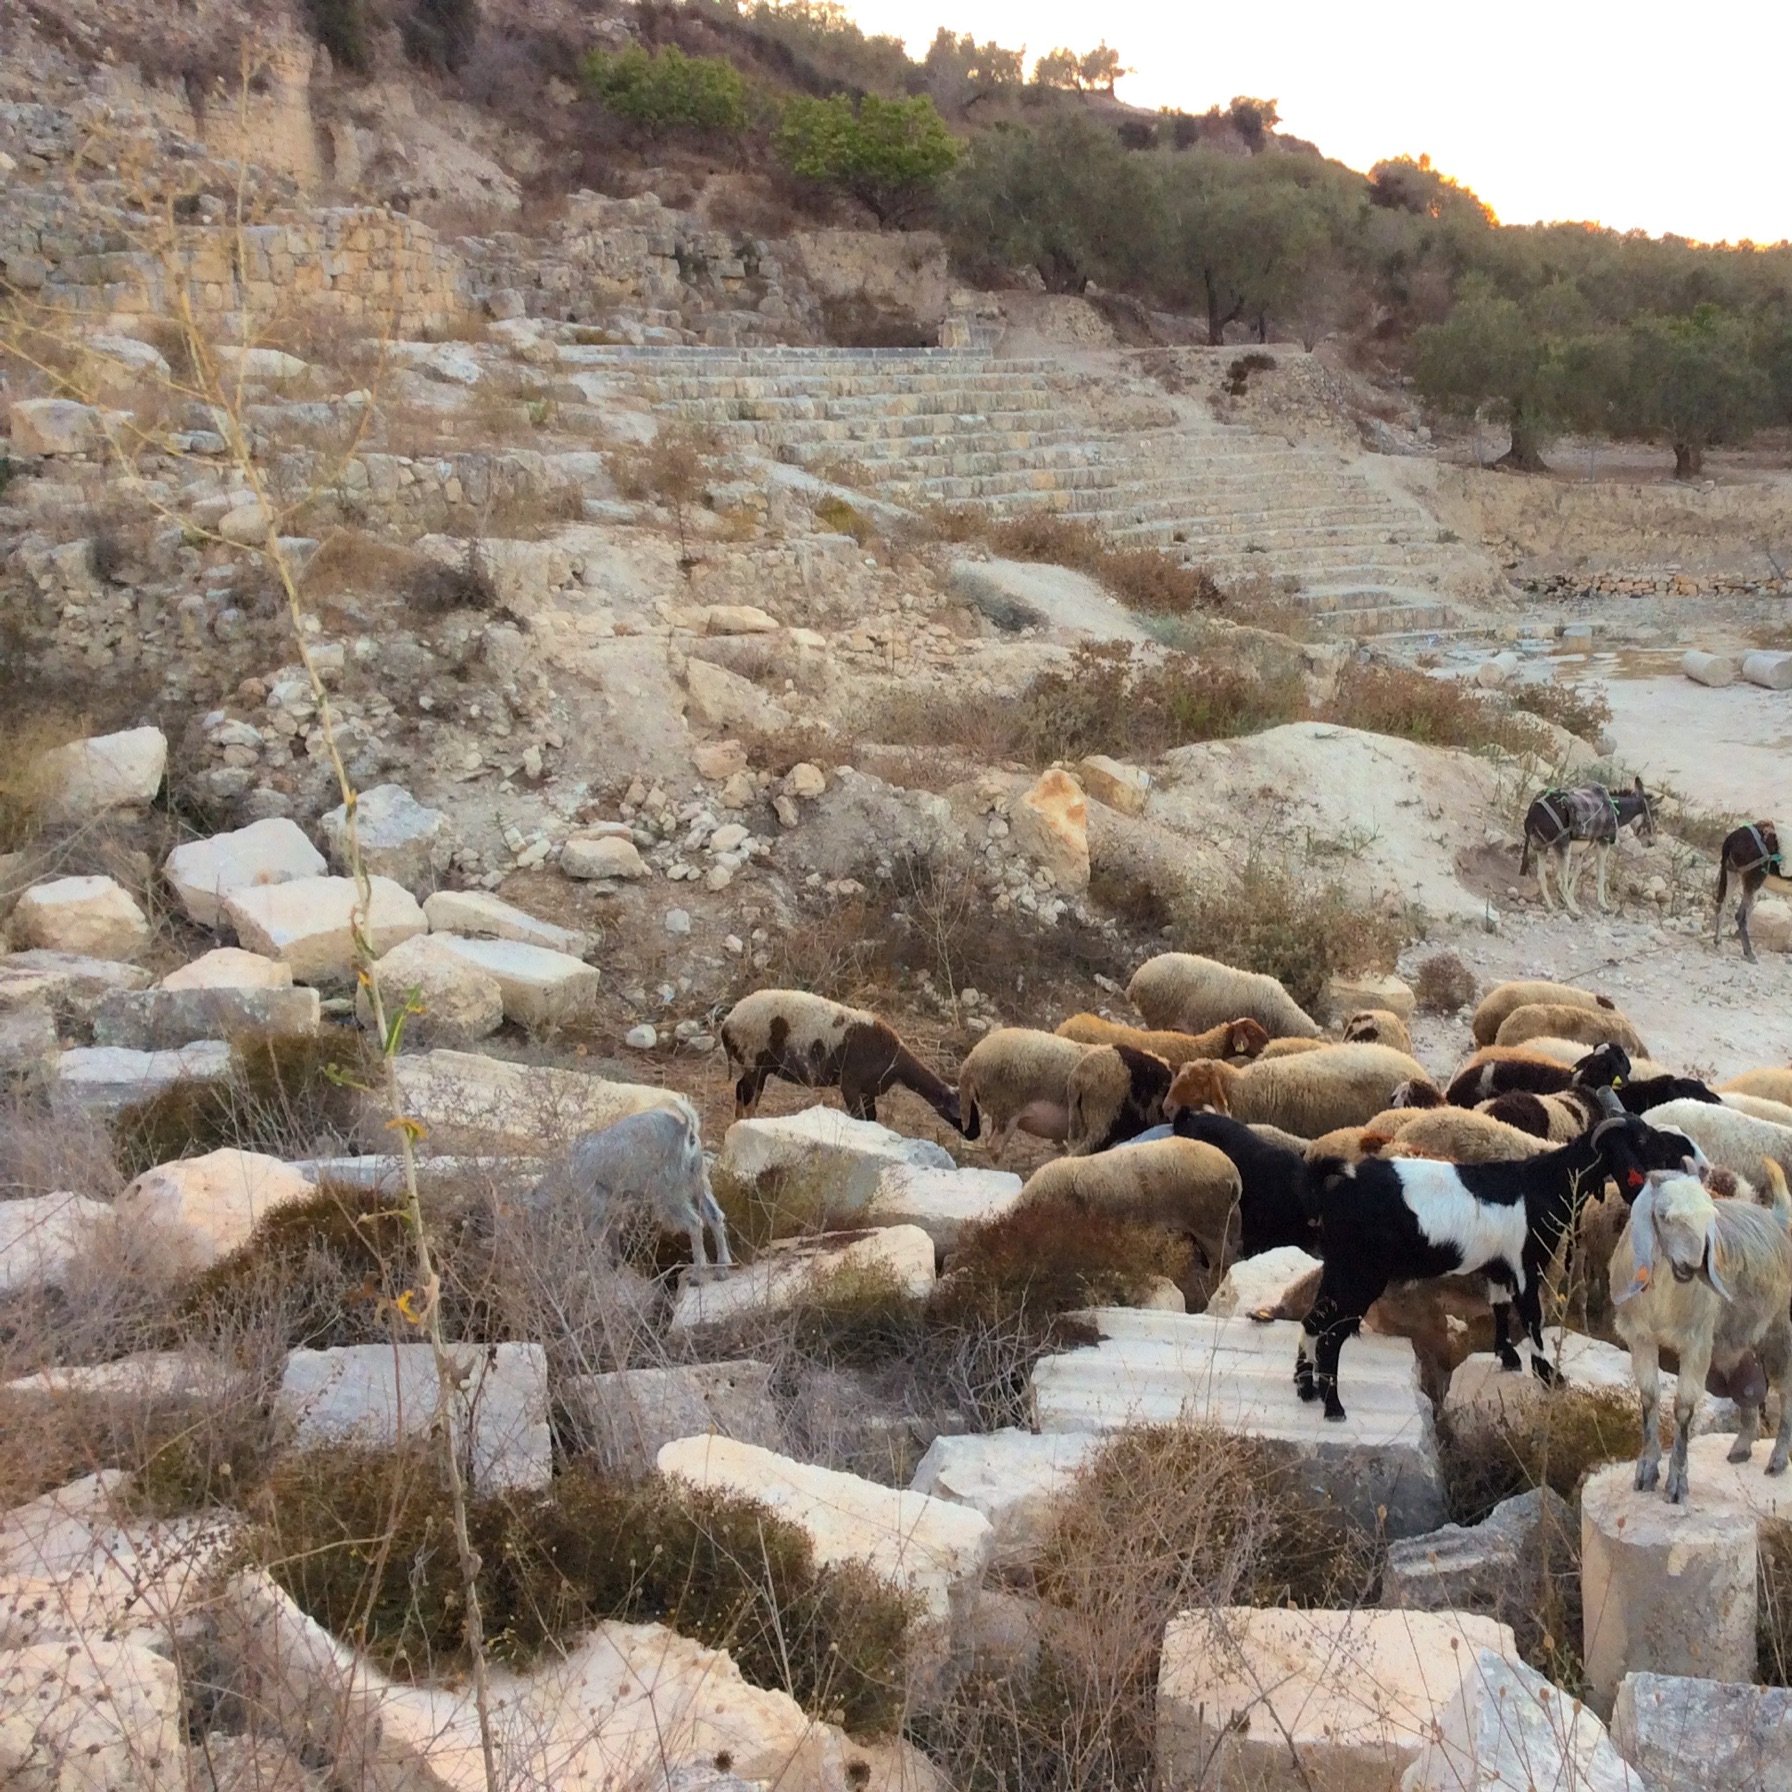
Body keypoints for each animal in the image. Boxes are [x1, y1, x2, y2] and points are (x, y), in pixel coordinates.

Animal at [520, 1101, 731, 1272]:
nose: (534, 1249)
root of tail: (687, 1129)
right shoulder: (613, 1204)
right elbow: (613, 1230)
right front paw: (614, 1263)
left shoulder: (595, 1202)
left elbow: (595, 1236)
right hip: (697, 1180)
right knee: (715, 1215)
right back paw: (722, 1267)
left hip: (668, 1191)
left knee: (694, 1223)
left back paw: (699, 1272)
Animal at [721, 990, 960, 1130]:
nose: (970, 1136)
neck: (896, 1063)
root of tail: (727, 1023)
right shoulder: (850, 1085)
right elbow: (859, 1118)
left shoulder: (867, 1091)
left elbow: (871, 1118)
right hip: (753, 1060)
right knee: (747, 1095)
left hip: (759, 1067)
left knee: (742, 1090)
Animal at [1297, 1106, 1697, 1421]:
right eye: (1641, 1140)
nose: (1680, 1158)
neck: (1545, 1182)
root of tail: (1335, 1193)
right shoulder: (1528, 1263)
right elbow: (1532, 1317)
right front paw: (1548, 1374)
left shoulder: (1498, 1266)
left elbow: (1500, 1306)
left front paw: (1508, 1357)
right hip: (1361, 1274)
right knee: (1331, 1335)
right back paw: (1333, 1407)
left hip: (1338, 1269)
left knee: (1313, 1322)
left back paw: (1306, 1389)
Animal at [1610, 1163, 1792, 1502]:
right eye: (1664, 1216)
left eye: (1710, 1216)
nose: (1694, 1265)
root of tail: (1776, 1218)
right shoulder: (1641, 1338)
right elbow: (1649, 1397)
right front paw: (1646, 1473)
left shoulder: (1696, 1344)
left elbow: (1683, 1407)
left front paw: (1676, 1485)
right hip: (1733, 1344)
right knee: (1749, 1388)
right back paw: (1741, 1448)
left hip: (1779, 1330)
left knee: (1785, 1389)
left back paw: (1777, 1460)